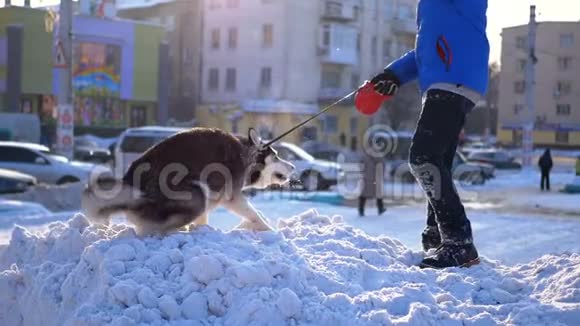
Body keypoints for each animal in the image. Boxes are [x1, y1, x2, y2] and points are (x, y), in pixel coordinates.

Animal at [81, 127, 294, 234]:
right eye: (276, 156)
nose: (293, 167)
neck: (245, 154)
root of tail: (132, 183)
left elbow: (204, 219)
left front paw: (202, 229)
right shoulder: (231, 196)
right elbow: (254, 213)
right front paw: (271, 231)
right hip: (196, 192)